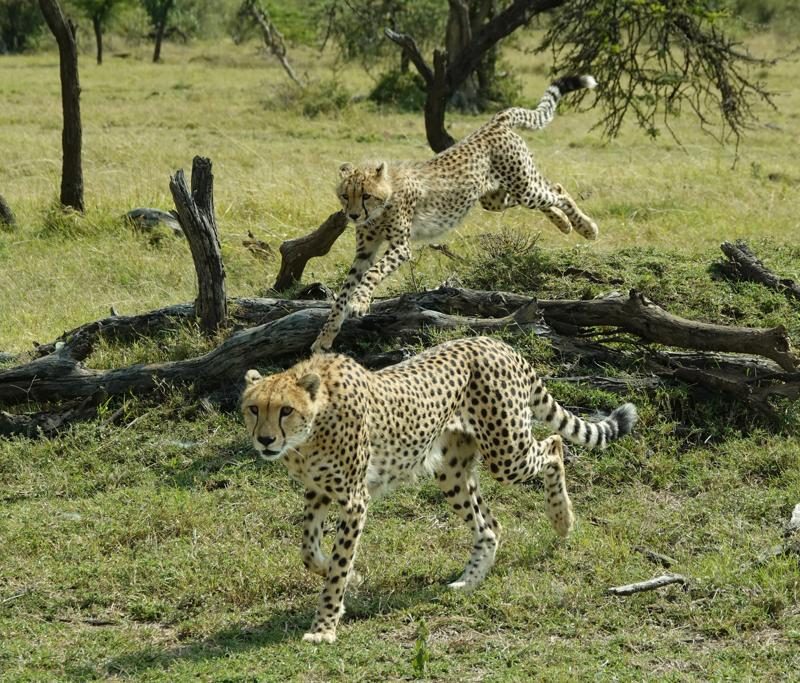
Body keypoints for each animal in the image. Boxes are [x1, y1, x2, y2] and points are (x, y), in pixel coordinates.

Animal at [241, 336, 637, 643]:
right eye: (253, 409)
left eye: (285, 410)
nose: (265, 440)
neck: (311, 429)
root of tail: (495, 342)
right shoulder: (319, 491)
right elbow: (309, 551)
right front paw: (351, 576)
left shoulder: (354, 499)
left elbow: (337, 563)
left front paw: (325, 626)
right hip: (452, 470)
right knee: (490, 526)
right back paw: (469, 582)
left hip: (507, 454)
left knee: (553, 446)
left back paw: (562, 519)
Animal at [311, 74, 599, 354]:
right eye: (345, 195)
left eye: (365, 195)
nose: (353, 216)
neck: (382, 204)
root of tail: (493, 124)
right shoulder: (365, 251)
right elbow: (343, 293)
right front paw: (325, 337)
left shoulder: (401, 247)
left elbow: (373, 273)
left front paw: (360, 302)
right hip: (496, 198)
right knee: (548, 193)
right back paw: (564, 224)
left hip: (523, 185)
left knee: (558, 190)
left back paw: (586, 227)